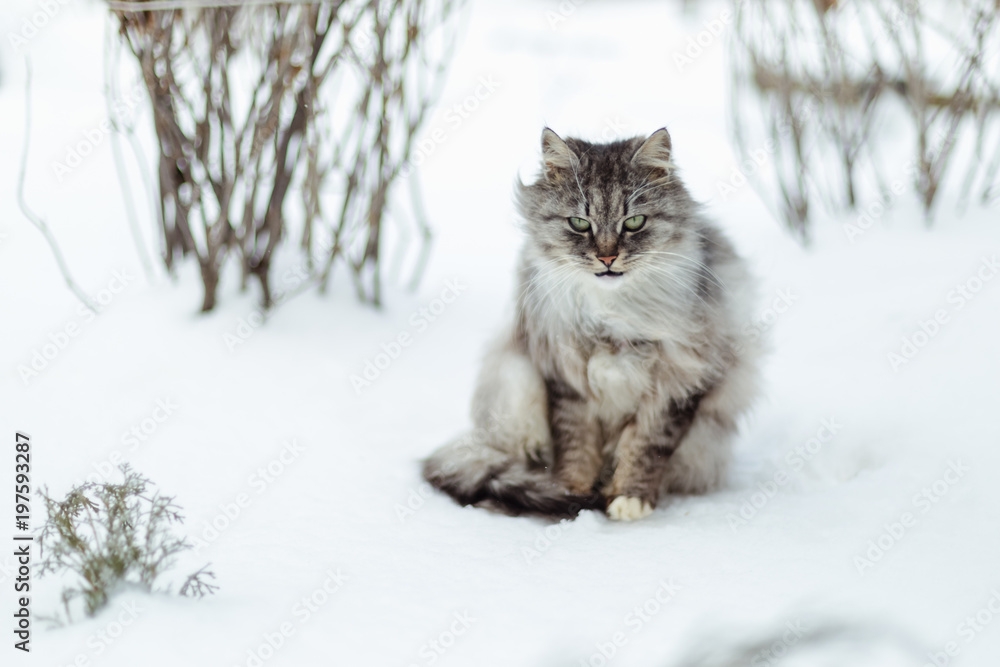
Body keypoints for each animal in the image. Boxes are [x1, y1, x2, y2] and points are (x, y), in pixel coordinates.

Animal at [420, 125, 756, 520]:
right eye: (579, 223)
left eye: (634, 222)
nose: (607, 258)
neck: (612, 315)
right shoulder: (565, 380)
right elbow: (576, 448)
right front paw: (572, 494)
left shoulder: (679, 383)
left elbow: (644, 449)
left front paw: (630, 499)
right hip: (514, 390)